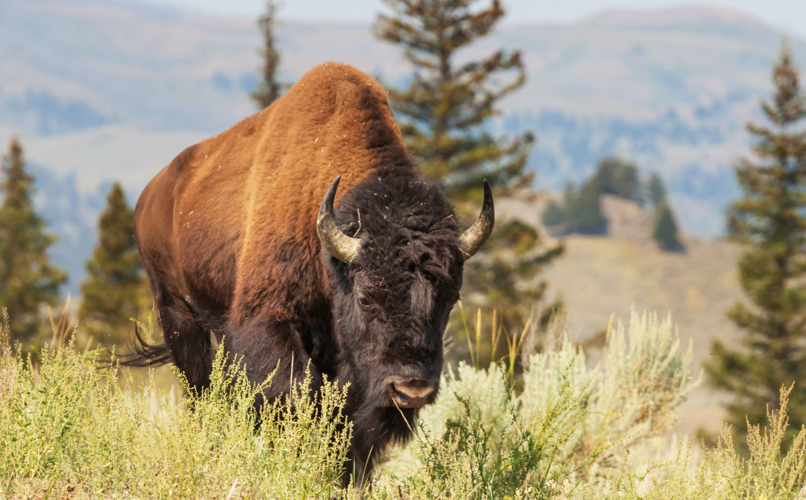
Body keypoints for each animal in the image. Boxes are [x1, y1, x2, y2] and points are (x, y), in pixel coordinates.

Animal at [126, 62, 493, 484]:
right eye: (365, 297)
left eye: (450, 299)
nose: (411, 389)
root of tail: (151, 194)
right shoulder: (270, 322)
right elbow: (297, 395)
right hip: (177, 312)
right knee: (201, 390)